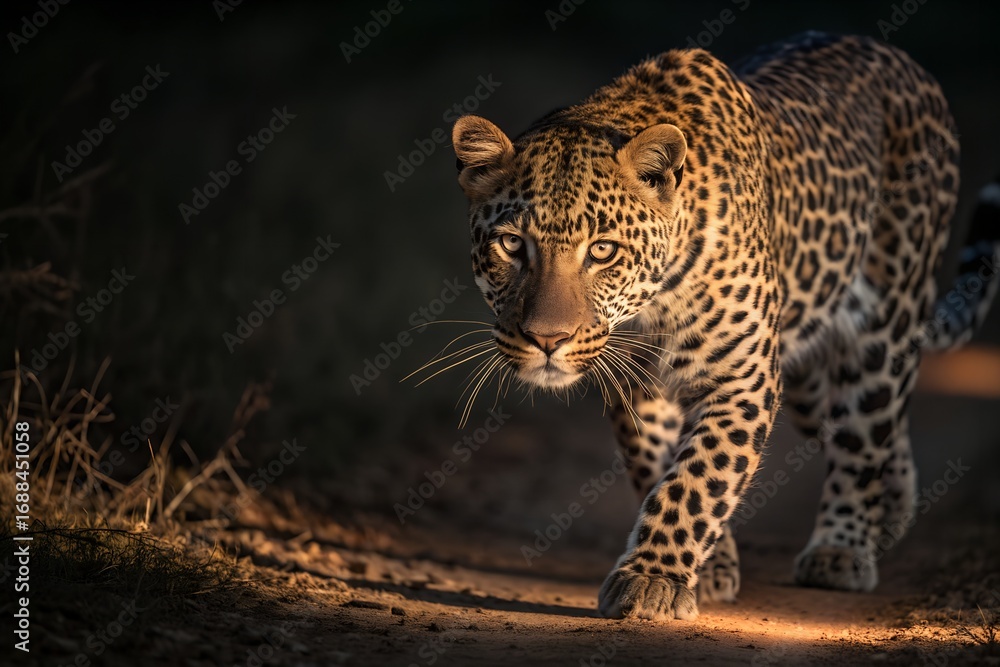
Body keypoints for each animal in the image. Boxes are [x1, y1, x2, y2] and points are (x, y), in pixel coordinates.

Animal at [448, 32, 1000, 620]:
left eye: (602, 250)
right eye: (512, 245)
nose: (547, 340)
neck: (654, 300)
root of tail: (894, 55)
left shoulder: (742, 377)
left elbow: (699, 478)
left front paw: (652, 579)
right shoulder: (639, 389)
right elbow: (662, 469)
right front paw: (704, 569)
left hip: (885, 320)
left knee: (865, 430)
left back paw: (842, 549)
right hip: (807, 372)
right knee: (869, 424)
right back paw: (892, 511)